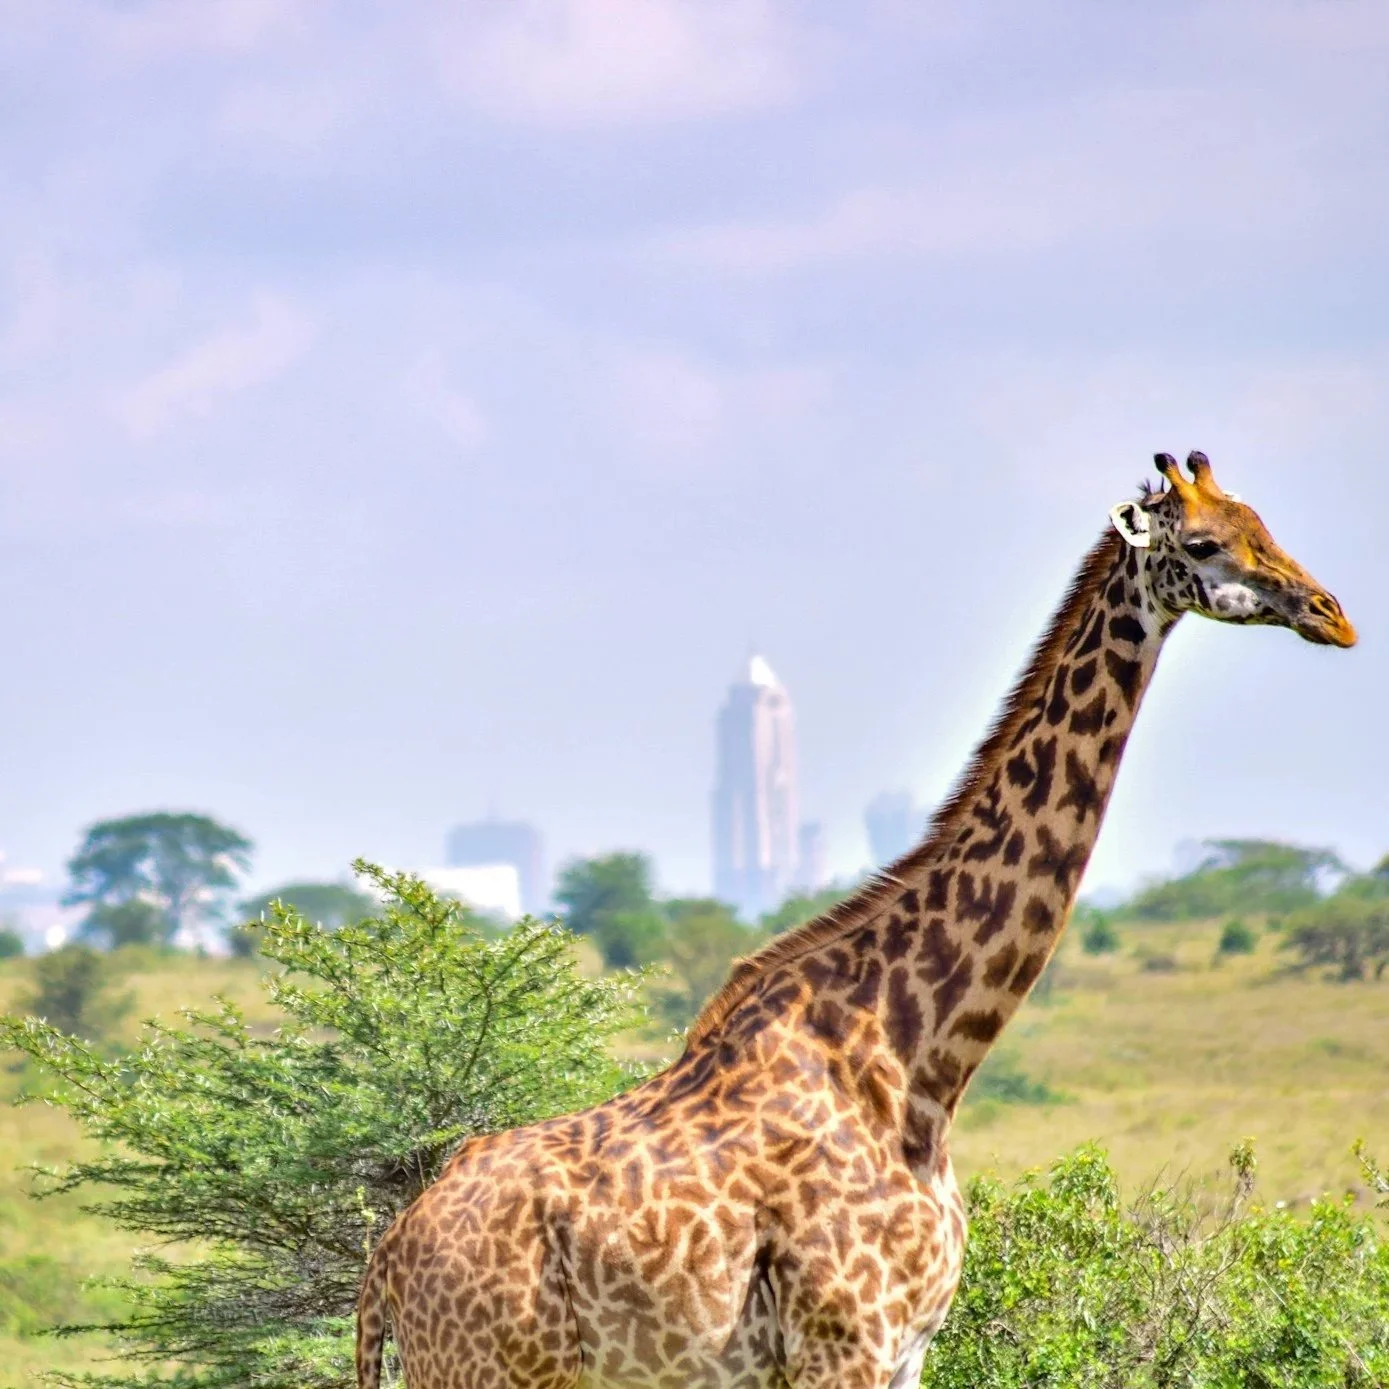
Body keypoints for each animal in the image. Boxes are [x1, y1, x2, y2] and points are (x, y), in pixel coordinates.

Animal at [357, 452, 1355, 1389]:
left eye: (1259, 521)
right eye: (1204, 544)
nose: (1331, 613)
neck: (920, 1060)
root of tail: (388, 1259)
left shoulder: (907, 1346)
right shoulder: (845, 1340)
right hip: (485, 1366)